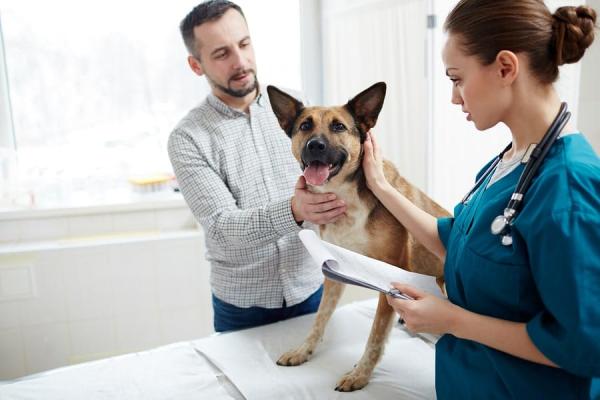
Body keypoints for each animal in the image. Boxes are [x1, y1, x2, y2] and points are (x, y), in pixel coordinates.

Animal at [268, 80, 450, 390]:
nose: (315, 145)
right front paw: (303, 351)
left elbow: (375, 336)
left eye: (339, 126)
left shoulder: (391, 279)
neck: (344, 196)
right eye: (305, 125)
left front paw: (360, 374)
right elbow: (319, 319)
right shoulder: (334, 271)